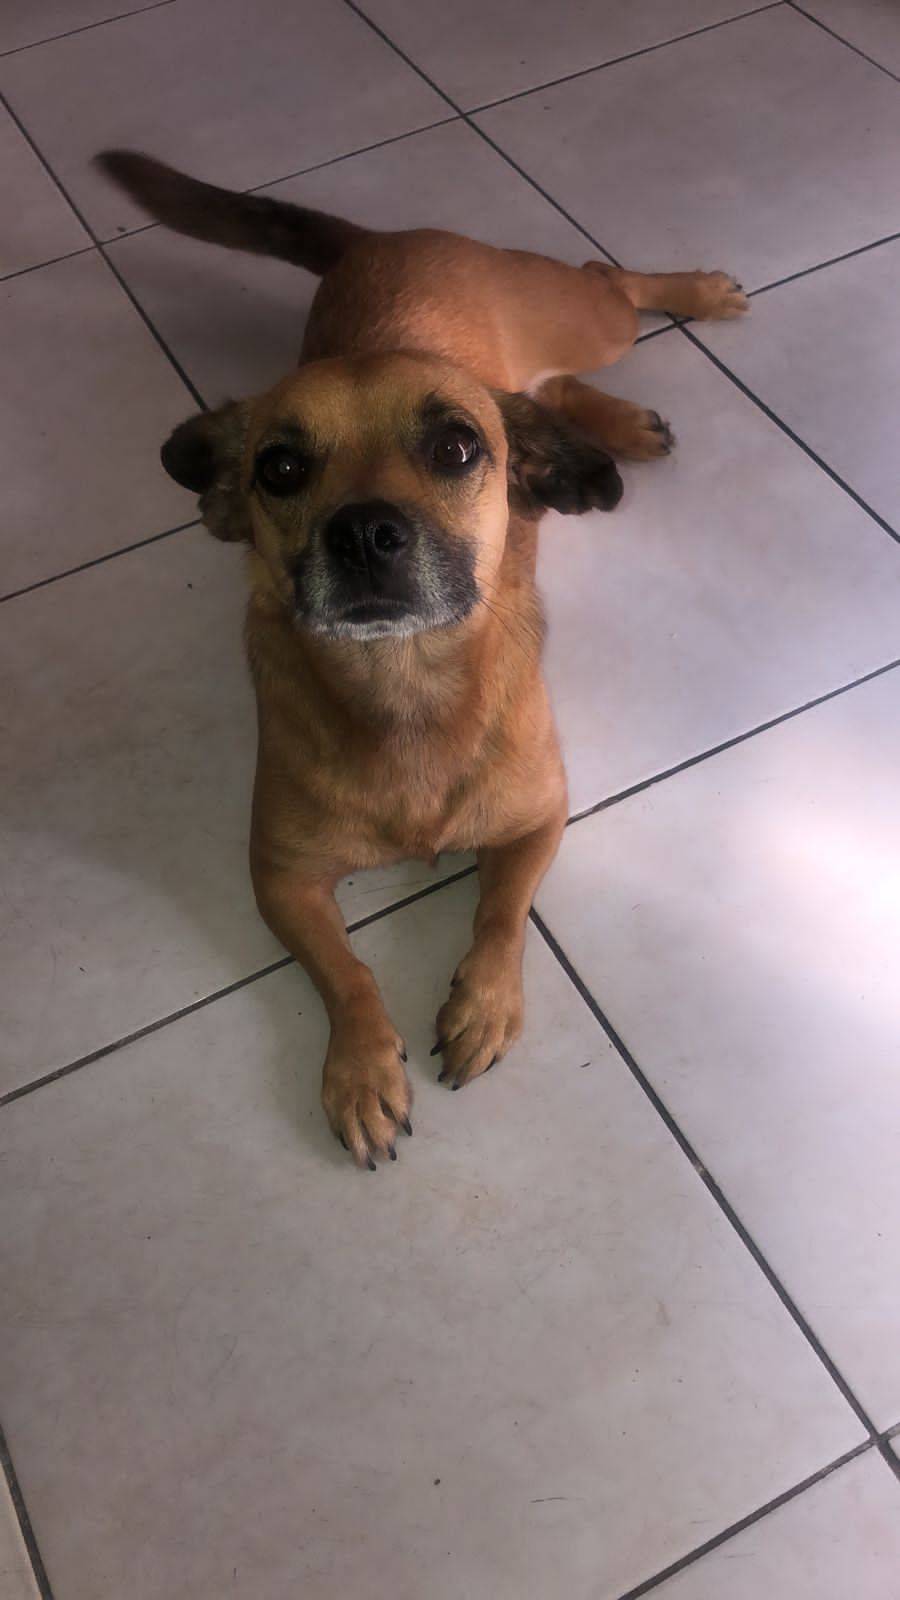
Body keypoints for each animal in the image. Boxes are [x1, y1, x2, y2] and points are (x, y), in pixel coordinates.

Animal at [97, 150, 748, 1167]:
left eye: (456, 447)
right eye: (280, 467)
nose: (364, 532)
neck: (405, 684)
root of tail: (380, 240)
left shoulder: (538, 818)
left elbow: (501, 913)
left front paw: (483, 1005)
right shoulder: (279, 876)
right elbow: (343, 970)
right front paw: (362, 1069)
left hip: (583, 316)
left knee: (605, 283)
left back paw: (694, 304)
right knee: (550, 387)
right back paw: (618, 424)